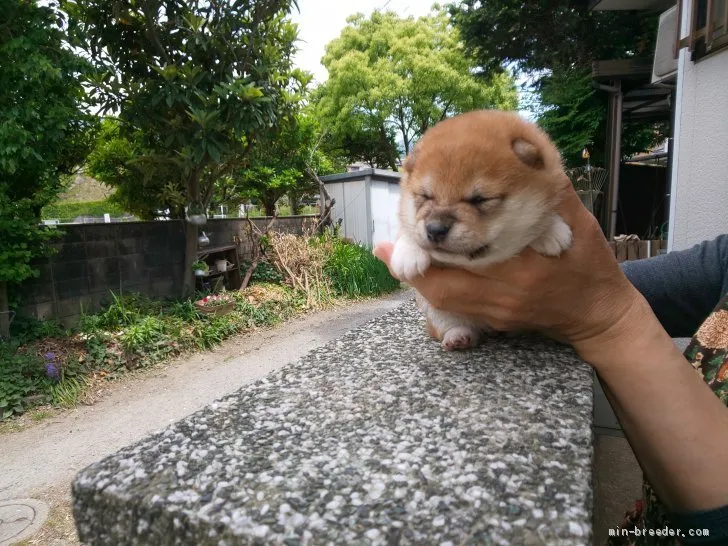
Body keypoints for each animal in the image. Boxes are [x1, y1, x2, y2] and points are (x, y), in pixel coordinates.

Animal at [390, 109, 572, 348]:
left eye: (479, 199)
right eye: (426, 196)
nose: (435, 229)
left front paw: (551, 230)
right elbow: (407, 228)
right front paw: (407, 253)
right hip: (435, 310)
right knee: (449, 325)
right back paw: (458, 337)